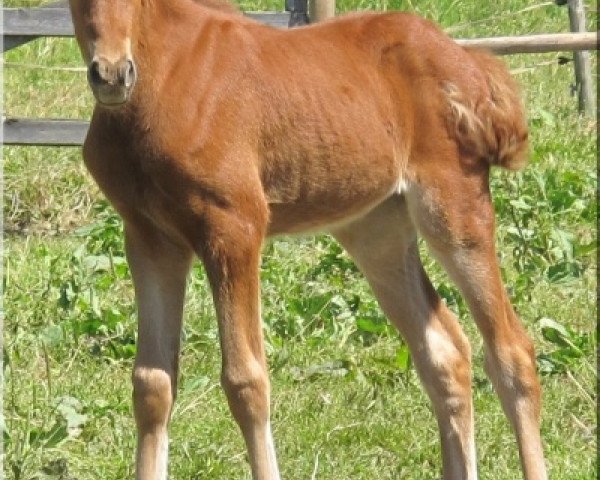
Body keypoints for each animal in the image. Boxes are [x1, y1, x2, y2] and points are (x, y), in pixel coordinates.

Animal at [69, 0, 548, 478]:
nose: (112, 74)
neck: (164, 76)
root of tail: (466, 58)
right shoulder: (149, 239)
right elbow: (152, 384)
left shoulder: (235, 228)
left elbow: (246, 381)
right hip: (377, 232)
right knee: (444, 352)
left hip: (453, 210)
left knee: (511, 351)